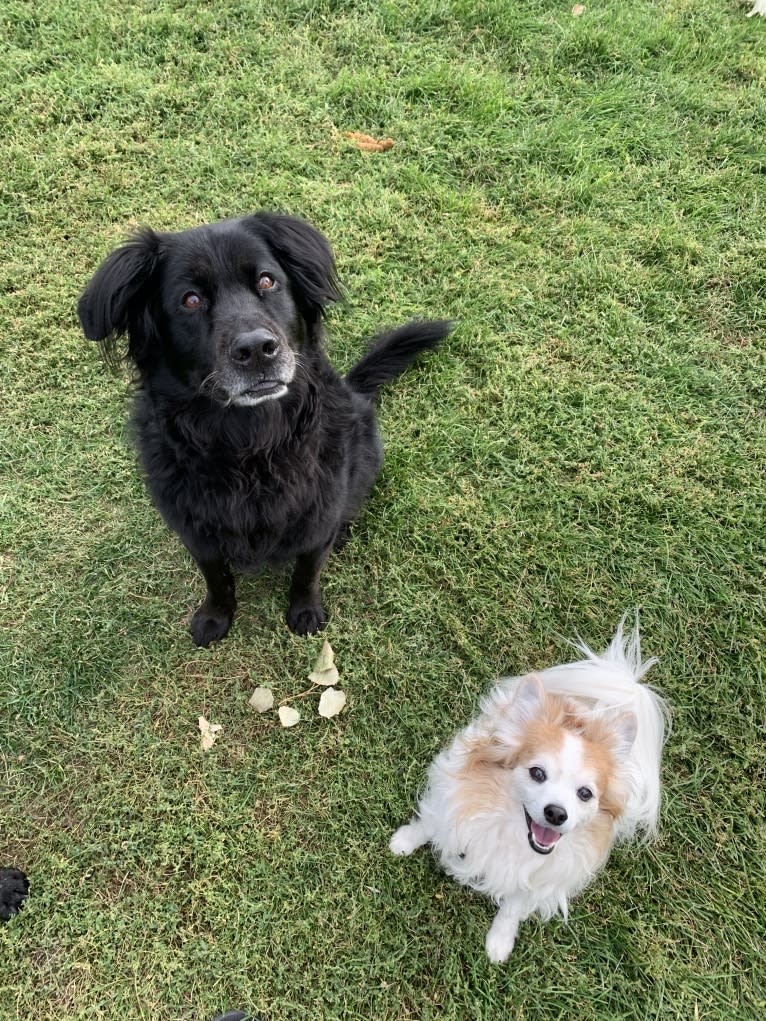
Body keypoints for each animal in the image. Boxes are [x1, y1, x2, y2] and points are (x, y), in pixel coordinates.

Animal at [78, 214, 449, 645]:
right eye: (191, 300)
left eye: (267, 281)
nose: (257, 349)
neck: (251, 444)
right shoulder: (196, 532)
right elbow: (216, 578)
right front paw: (215, 616)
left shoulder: (316, 518)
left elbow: (307, 571)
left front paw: (305, 612)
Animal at [392, 616, 669, 959]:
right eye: (537, 773)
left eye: (585, 793)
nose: (556, 813)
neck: (513, 834)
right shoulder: (451, 798)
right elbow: (430, 824)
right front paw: (403, 841)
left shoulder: (541, 878)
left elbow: (512, 907)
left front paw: (499, 943)